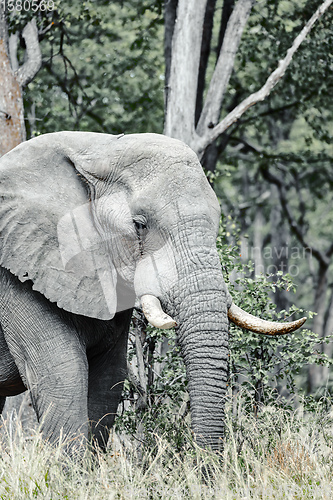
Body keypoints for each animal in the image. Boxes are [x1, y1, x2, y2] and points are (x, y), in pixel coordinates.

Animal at [0, 132, 304, 454]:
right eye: (139, 225)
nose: (202, 460)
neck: (97, 149)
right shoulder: (18, 278)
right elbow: (63, 377)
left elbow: (107, 381)